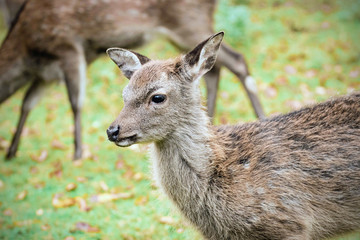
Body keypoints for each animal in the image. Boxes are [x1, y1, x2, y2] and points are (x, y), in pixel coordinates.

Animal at [0, 0, 264, 161]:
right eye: (124, 95)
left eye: (157, 97)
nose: (111, 131)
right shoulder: (45, 75)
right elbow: (27, 102)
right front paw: (11, 151)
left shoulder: (68, 48)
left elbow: (75, 102)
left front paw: (77, 153)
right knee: (215, 69)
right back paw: (210, 117)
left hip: (189, 22)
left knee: (237, 60)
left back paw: (259, 115)